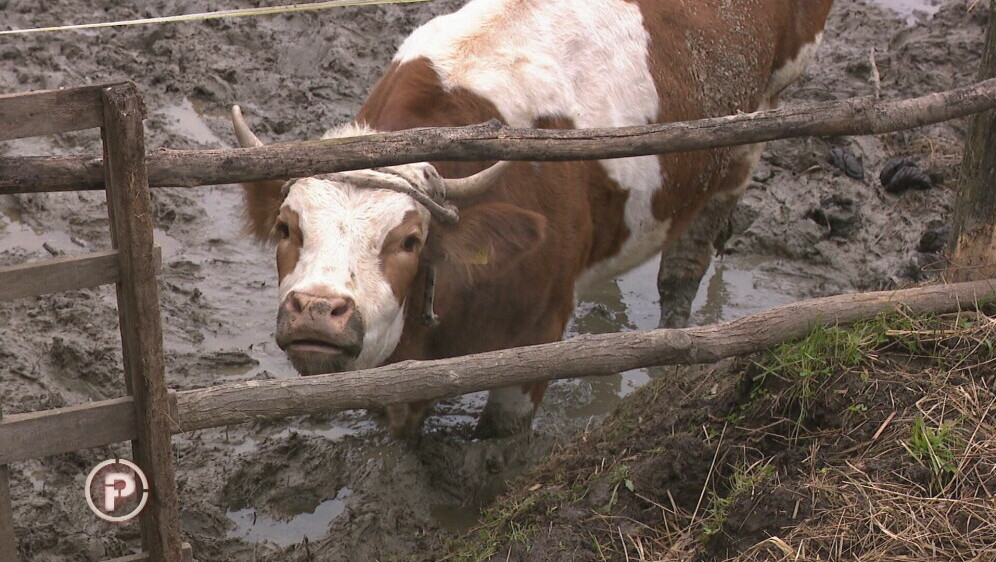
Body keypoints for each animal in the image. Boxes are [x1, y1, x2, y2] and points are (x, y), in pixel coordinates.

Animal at [231, 0, 832, 438]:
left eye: (408, 240)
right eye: (286, 228)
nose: (316, 309)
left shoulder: (535, 339)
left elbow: (496, 444)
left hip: (754, 126)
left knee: (685, 266)